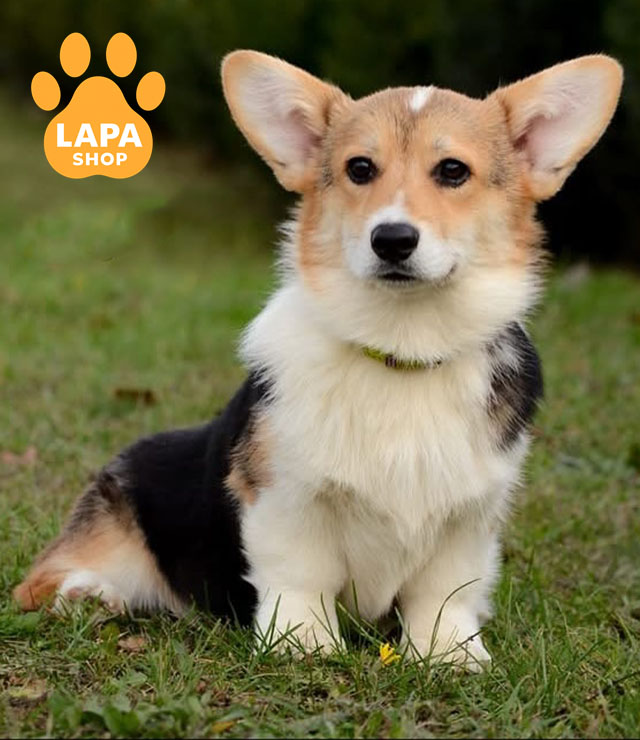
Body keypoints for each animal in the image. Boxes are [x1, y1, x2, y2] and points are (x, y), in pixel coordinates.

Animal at [15, 50, 622, 668]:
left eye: (453, 171)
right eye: (360, 168)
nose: (392, 239)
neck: (401, 349)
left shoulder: (470, 513)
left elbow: (445, 589)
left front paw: (448, 652)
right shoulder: (284, 495)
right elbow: (299, 573)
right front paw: (302, 641)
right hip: (112, 520)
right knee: (36, 584)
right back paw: (89, 594)